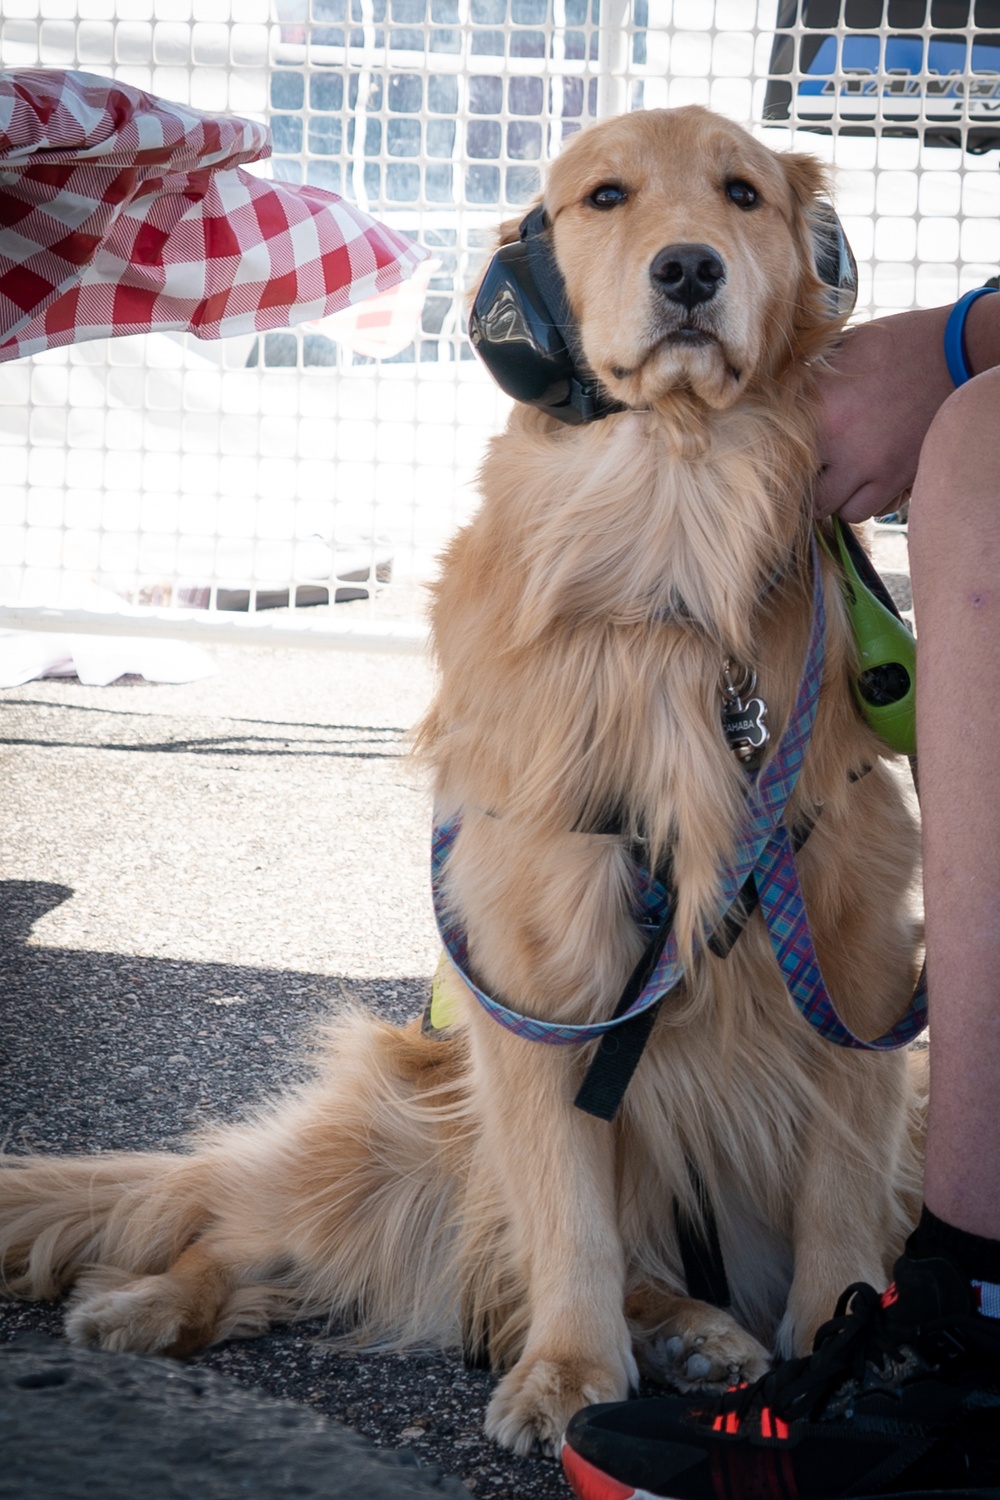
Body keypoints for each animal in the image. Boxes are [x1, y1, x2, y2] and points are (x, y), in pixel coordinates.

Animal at [0, 108, 923, 1464]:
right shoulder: (537, 979)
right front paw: (570, 1372)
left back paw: (701, 1333)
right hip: (415, 1120)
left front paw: (838, 1340)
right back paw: (149, 1304)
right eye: (605, 197)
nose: (688, 270)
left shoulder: (856, 957)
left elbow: (843, 1187)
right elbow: (569, 1217)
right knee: (277, 1236)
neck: (674, 545)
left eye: (743, 195)